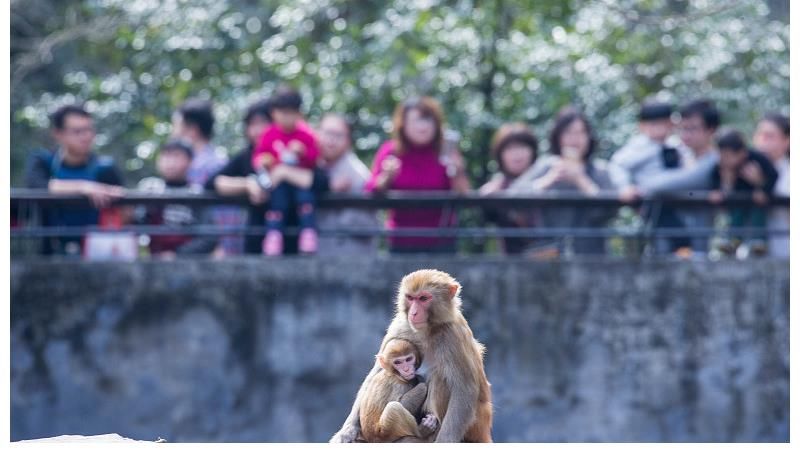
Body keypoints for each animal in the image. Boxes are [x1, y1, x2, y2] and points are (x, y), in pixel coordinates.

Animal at [328, 270, 490, 444]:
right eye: (411, 298)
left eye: (424, 298)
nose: (413, 313)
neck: (427, 329)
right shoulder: (401, 324)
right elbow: (376, 372)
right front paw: (347, 432)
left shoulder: (451, 335)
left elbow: (465, 389)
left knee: (441, 378)